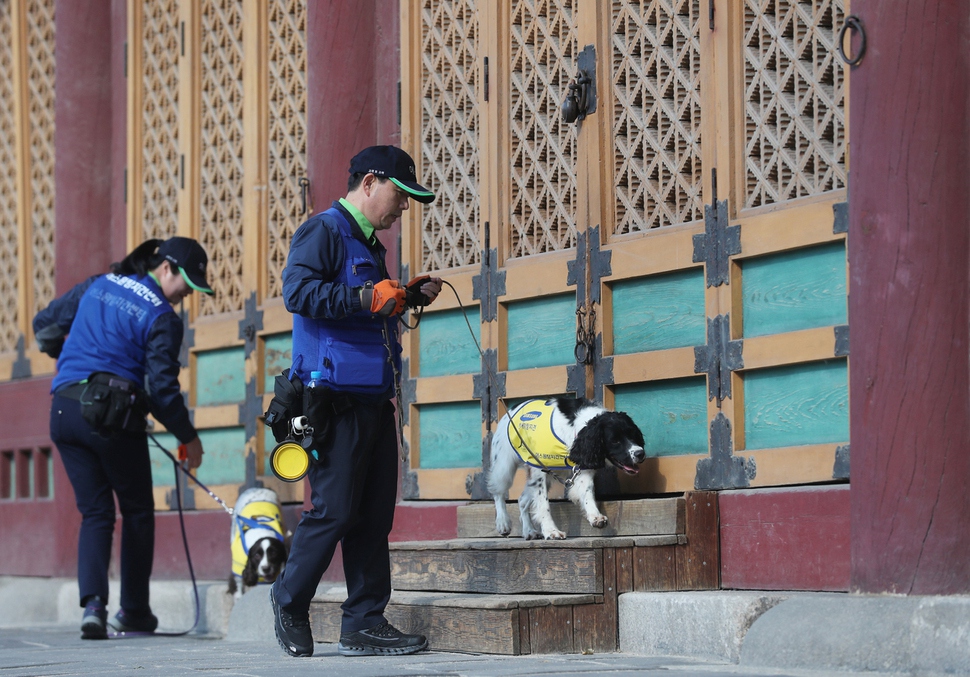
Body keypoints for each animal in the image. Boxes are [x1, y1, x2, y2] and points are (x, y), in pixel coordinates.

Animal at [488, 396, 648, 540]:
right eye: (615, 441)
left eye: (633, 435)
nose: (640, 453)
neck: (578, 429)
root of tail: (511, 410)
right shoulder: (538, 470)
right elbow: (543, 504)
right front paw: (551, 531)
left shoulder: (583, 466)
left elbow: (587, 490)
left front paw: (595, 516)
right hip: (504, 464)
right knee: (498, 493)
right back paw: (503, 522)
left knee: (522, 500)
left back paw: (529, 531)